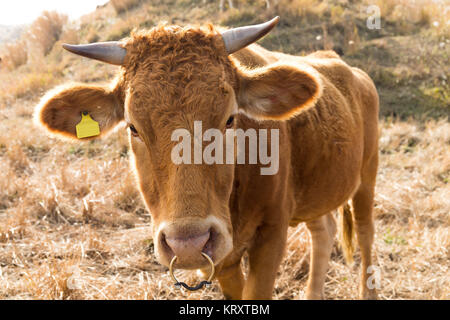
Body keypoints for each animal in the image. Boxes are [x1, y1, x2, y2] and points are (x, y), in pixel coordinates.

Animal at [36, 16, 380, 298]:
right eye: (133, 127)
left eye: (230, 119)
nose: (188, 243)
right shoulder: (221, 260)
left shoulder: (272, 232)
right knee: (323, 231)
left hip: (367, 175)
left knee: (365, 234)